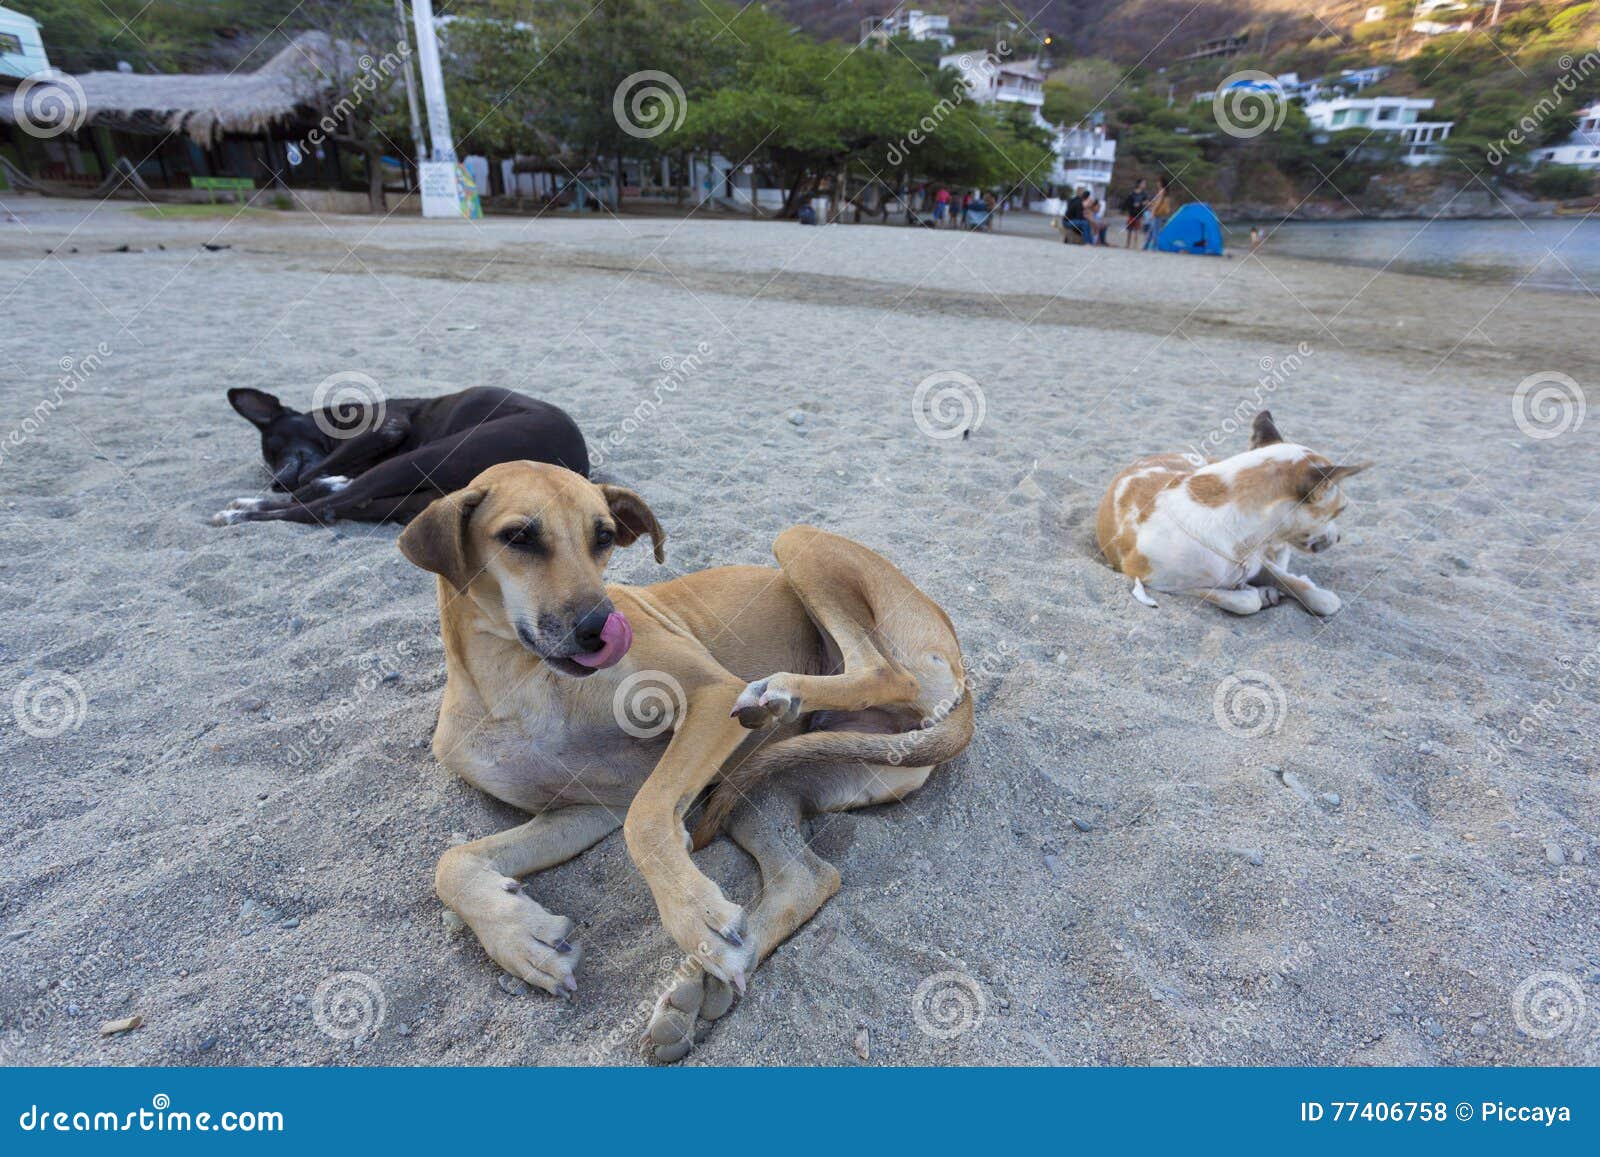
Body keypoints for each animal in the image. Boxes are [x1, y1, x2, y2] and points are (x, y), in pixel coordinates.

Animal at [212, 387, 588, 528]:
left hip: (426, 457)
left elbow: (308, 478)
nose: (277, 481)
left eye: (277, 446)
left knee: (323, 505)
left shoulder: (388, 426)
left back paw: (237, 514)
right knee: (339, 504)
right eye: (269, 461)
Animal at [400, 460, 972, 1056]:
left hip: (799, 546)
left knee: (885, 670)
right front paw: (520, 937)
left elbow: (648, 818)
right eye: (518, 537)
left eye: (603, 537)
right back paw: (701, 991)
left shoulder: (712, 697)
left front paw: (694, 912)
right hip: (760, 785)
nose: (601, 627)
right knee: (807, 879)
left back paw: (781, 693)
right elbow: (452, 861)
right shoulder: (584, 811)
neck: (516, 680)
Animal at [1094, 412, 1369, 620]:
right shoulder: (1153, 580)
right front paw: (1251, 592)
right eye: (1341, 510)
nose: (1339, 537)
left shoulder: (1258, 561)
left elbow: (1310, 592)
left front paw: (1308, 590)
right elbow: (1242, 601)